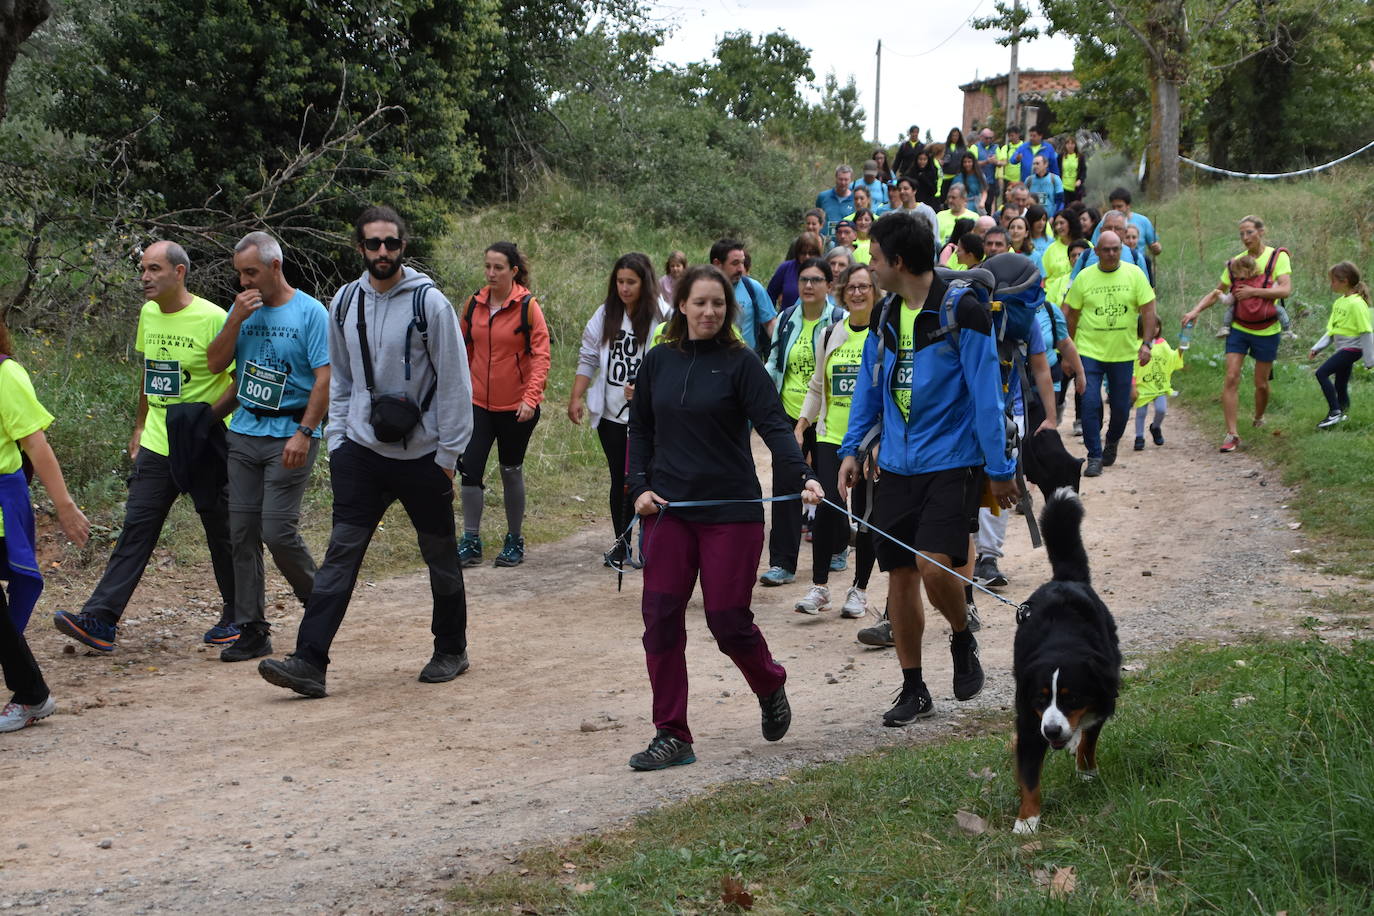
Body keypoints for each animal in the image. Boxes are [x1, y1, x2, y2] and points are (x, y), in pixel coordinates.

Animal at [1011, 491, 1115, 834]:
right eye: (1041, 699)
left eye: (1072, 699)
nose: (1053, 731)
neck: (1062, 642)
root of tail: (1065, 579)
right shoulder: (1029, 719)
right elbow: (1030, 775)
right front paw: (1027, 820)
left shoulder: (1101, 699)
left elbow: (1089, 741)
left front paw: (1087, 772)